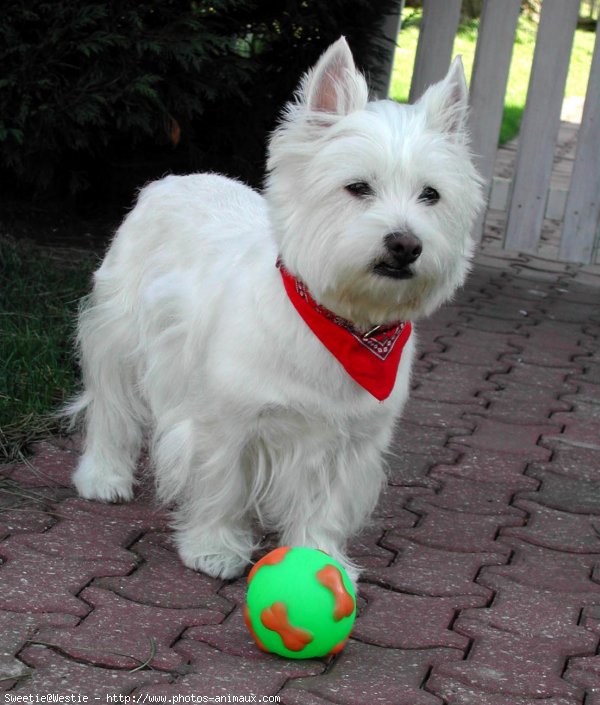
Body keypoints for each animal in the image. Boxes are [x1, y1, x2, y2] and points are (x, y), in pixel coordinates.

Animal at [70, 35, 482, 580]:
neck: (344, 325)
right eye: (358, 187)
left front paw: (321, 560)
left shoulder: (352, 442)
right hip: (119, 335)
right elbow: (221, 485)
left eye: (431, 195)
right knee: (111, 407)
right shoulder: (226, 420)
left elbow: (326, 506)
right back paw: (103, 477)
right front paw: (214, 549)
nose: (405, 244)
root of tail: (173, 178)